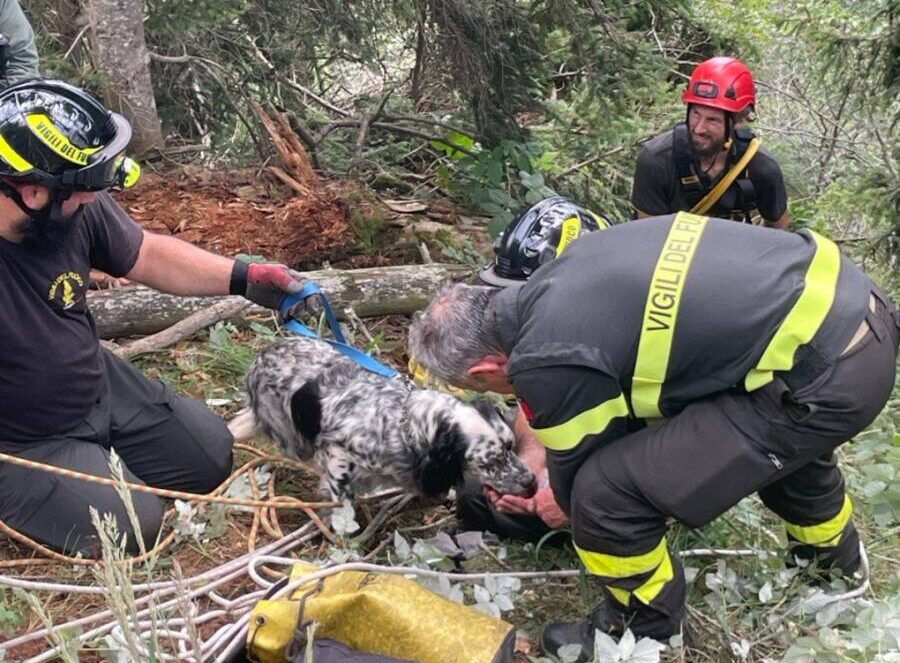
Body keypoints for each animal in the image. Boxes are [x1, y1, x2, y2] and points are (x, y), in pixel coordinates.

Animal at [243, 338, 536, 504]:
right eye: (489, 463)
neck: (403, 425)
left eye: (511, 447)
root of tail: (263, 354)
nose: (532, 482)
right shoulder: (339, 456)